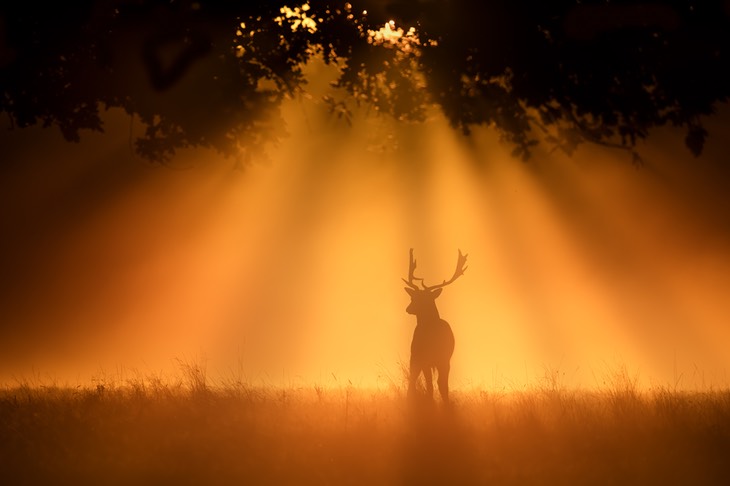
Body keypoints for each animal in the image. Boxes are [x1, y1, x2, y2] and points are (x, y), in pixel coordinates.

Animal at [404, 247, 466, 402]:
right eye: (413, 297)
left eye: (426, 298)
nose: (408, 308)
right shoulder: (424, 359)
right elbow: (430, 385)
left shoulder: (445, 358)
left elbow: (443, 385)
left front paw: (446, 403)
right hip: (415, 356)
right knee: (413, 379)